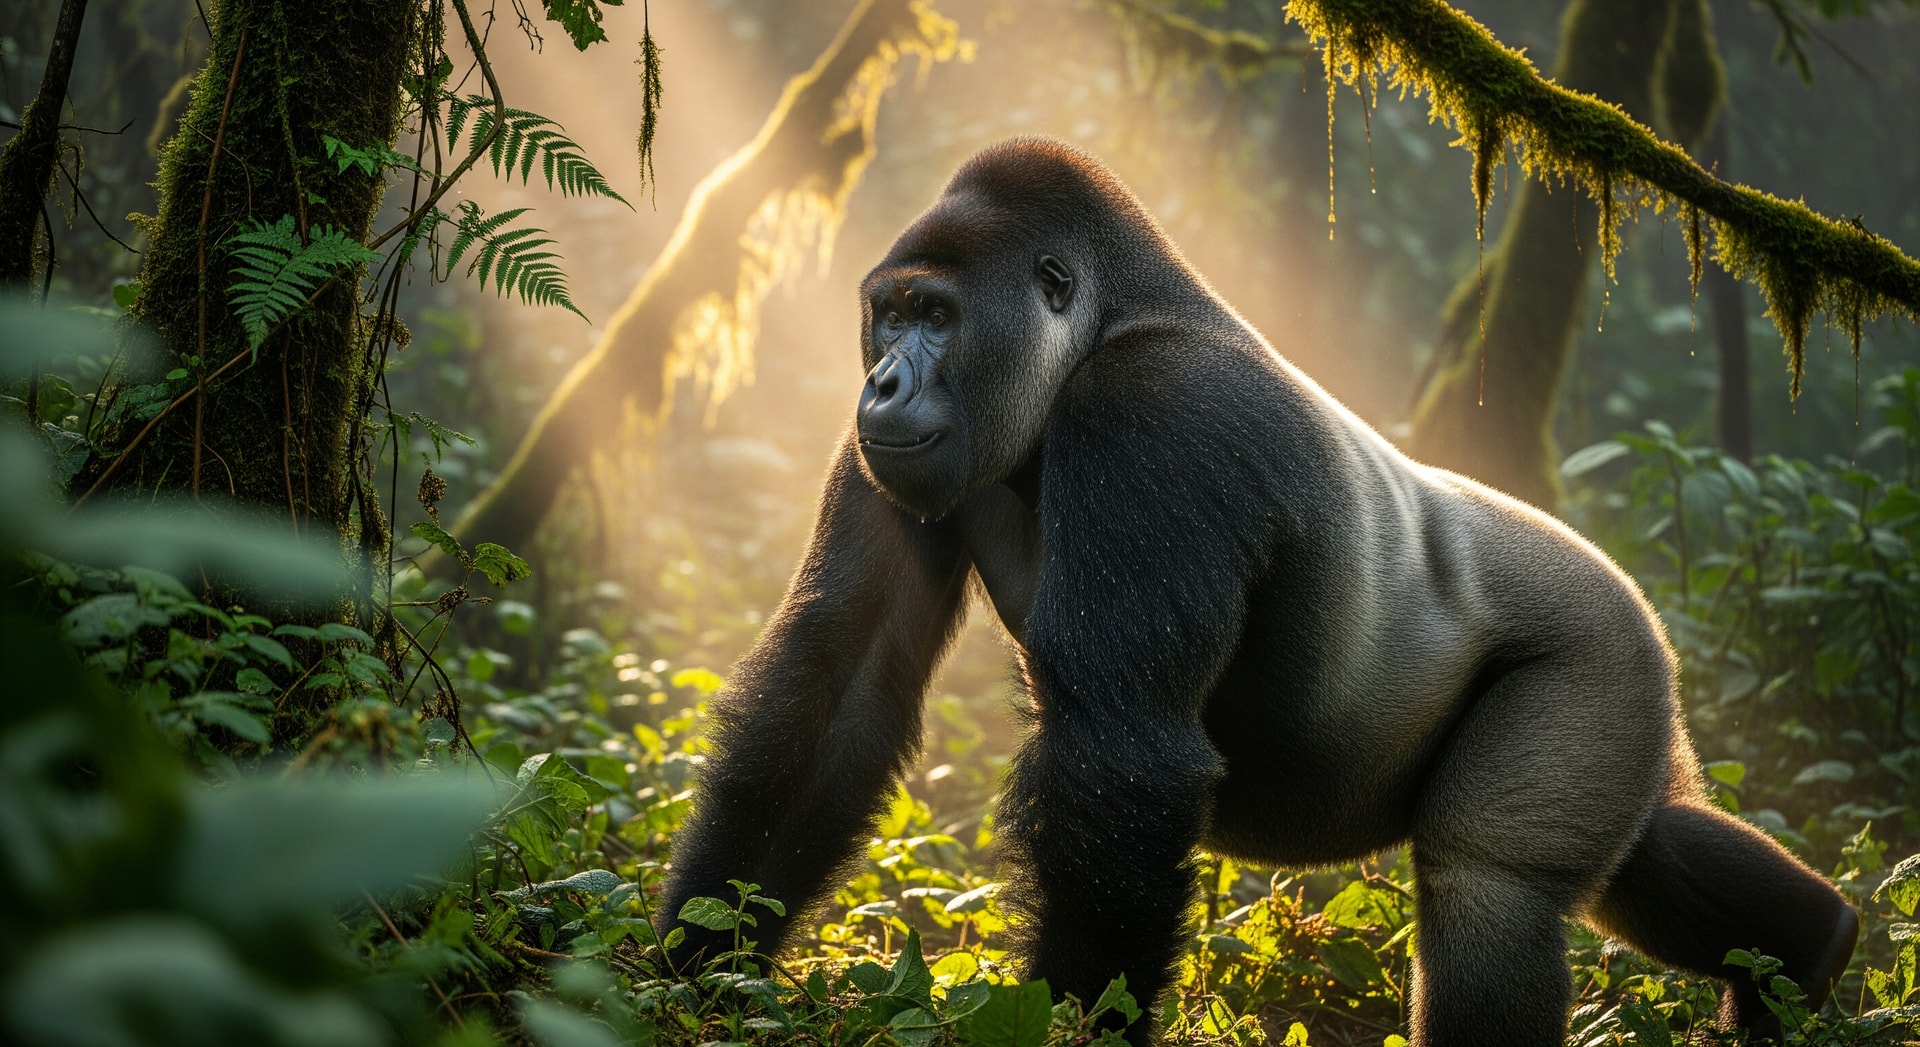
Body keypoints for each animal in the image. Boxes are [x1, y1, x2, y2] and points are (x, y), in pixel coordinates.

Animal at [660, 137, 1858, 1046]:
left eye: (940, 317)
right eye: (890, 313)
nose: (881, 380)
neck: (1108, 320)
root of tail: (1638, 604)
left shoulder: (1156, 414)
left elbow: (1125, 756)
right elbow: (840, 682)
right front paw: (687, 972)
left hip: (1595, 646)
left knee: (1491, 882)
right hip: (1629, 682)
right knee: (1639, 847)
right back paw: (1807, 954)